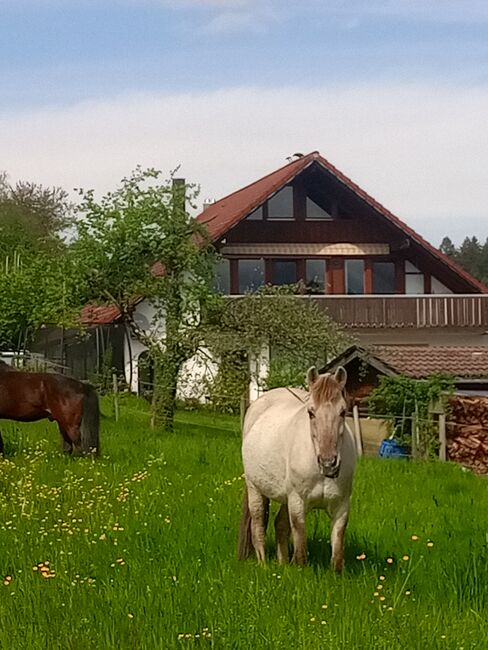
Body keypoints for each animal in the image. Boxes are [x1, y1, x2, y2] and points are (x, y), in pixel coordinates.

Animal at [238, 368, 356, 568]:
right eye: (310, 412)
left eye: (342, 411)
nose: (328, 463)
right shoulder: (297, 502)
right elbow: (300, 552)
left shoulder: (341, 507)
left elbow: (337, 557)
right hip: (255, 488)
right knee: (257, 525)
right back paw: (263, 564)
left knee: (280, 524)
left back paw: (282, 564)